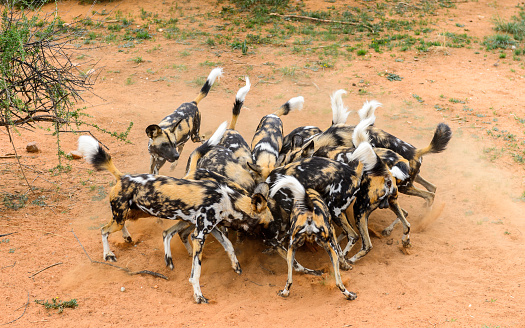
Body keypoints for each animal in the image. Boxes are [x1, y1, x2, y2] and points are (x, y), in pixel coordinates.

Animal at [79, 134, 274, 304]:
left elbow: (229, 246)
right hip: (125, 216)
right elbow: (196, 273)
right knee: (104, 230)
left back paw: (128, 238)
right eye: (270, 223)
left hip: (134, 213)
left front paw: (236, 266)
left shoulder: (210, 229)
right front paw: (198, 296)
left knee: (123, 225)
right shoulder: (199, 236)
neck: (229, 200)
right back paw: (108, 254)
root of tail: (123, 177)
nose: (272, 240)